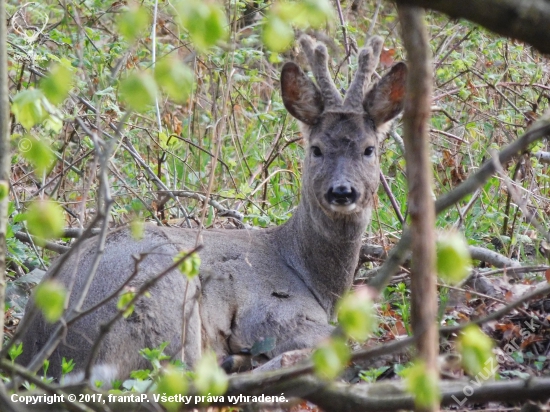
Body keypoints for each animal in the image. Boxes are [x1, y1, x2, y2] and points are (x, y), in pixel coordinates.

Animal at [17, 35, 408, 380]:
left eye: (369, 149)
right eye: (316, 149)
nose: (342, 191)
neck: (310, 274)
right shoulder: (273, 312)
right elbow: (347, 344)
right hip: (161, 297)